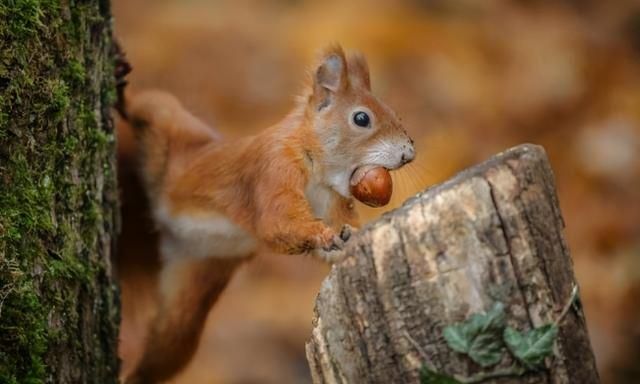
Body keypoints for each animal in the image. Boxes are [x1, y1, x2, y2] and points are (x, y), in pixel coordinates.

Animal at [116, 43, 416, 382]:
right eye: (361, 118)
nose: (408, 153)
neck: (316, 167)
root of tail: (165, 227)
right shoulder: (273, 170)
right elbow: (276, 222)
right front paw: (323, 234)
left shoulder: (330, 200)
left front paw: (347, 237)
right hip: (171, 127)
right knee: (147, 105)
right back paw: (120, 82)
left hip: (192, 289)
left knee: (169, 346)